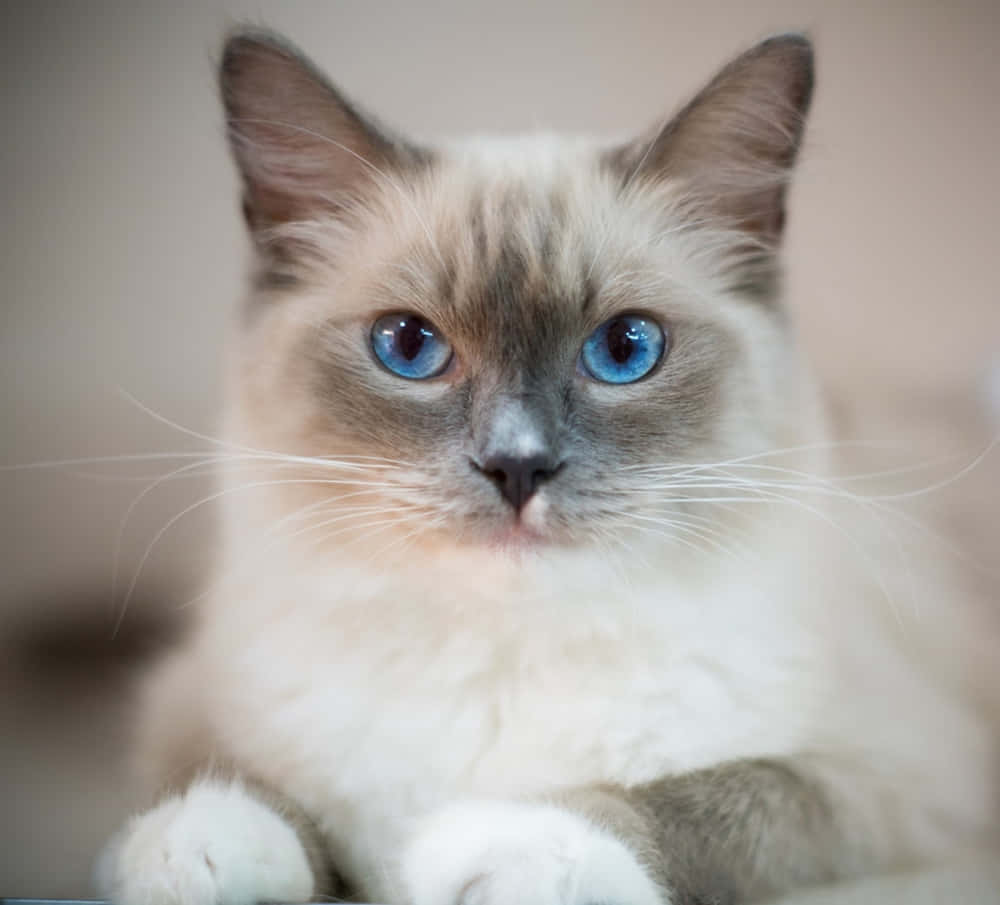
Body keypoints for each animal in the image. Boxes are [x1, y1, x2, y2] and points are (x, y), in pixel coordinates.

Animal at [95, 28, 1000, 904]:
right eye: (408, 346)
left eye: (625, 349)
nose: (517, 465)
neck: (506, 655)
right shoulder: (186, 703)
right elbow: (230, 780)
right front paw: (202, 846)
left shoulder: (900, 780)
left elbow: (705, 799)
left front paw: (511, 847)